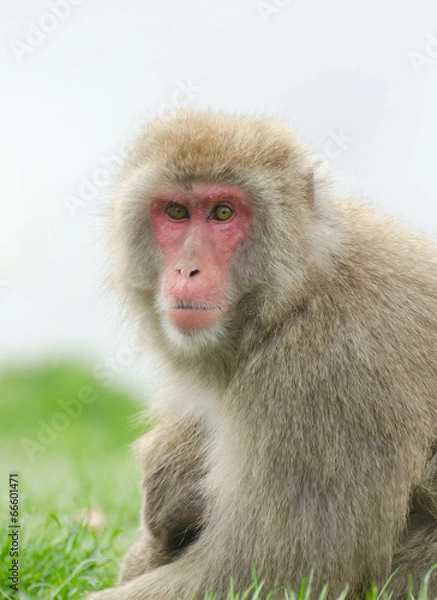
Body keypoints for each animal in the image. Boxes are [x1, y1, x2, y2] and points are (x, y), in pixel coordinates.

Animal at [87, 110, 436, 596]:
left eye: (223, 212)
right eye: (176, 212)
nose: (187, 270)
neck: (297, 294)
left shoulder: (326, 383)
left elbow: (269, 573)